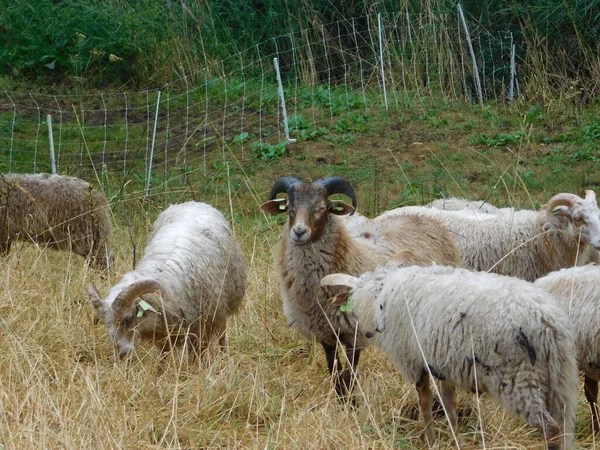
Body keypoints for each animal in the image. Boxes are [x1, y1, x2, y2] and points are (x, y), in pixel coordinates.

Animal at [87, 202, 246, 360]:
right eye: (106, 324)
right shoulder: (163, 334)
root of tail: (193, 202)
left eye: (129, 318)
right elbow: (164, 356)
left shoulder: (200, 329)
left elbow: (196, 357)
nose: (121, 354)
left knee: (222, 334)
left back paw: (224, 355)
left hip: (223, 305)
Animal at [260, 176, 462, 400]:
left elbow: (350, 376)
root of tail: (425, 219)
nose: (299, 232)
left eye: (323, 208)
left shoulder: (354, 333)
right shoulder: (326, 334)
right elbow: (335, 374)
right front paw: (341, 402)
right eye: (289, 207)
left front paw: (351, 403)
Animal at [322, 262, 580, 448]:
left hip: (520, 379)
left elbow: (425, 403)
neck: (380, 296)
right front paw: (454, 438)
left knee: (552, 429)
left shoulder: (414, 361)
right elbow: (449, 406)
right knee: (563, 425)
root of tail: (549, 321)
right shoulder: (445, 364)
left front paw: (431, 441)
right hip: (560, 380)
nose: (363, 333)